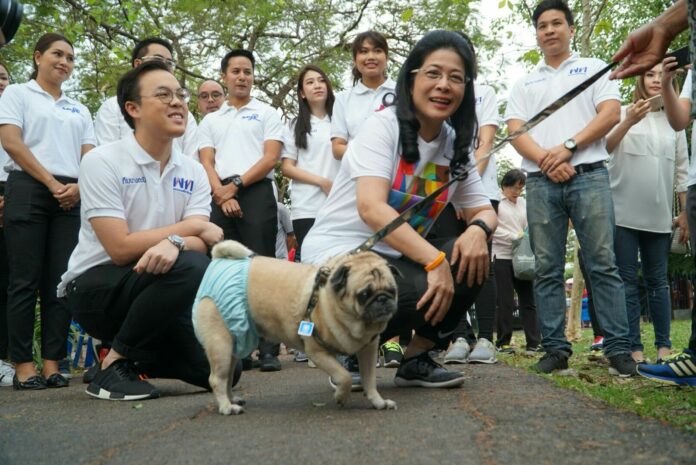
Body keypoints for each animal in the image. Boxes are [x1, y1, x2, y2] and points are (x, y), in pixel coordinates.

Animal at [192, 239, 396, 414]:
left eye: (392, 291)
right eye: (364, 294)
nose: (382, 299)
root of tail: (219, 262)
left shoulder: (368, 350)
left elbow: (369, 380)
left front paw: (378, 402)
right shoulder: (317, 352)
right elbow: (344, 376)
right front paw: (341, 396)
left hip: (235, 344)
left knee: (228, 377)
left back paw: (232, 399)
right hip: (221, 345)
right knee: (217, 379)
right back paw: (226, 407)